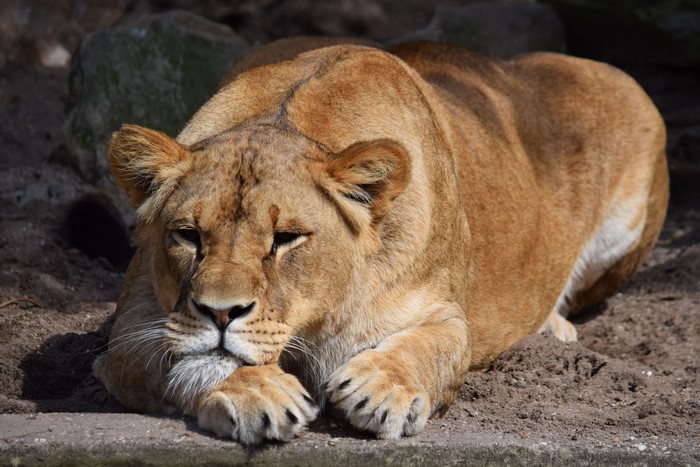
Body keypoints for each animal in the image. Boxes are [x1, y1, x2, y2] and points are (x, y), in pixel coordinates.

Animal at [93, 39, 668, 444]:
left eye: (286, 239)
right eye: (188, 236)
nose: (219, 313)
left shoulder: (446, 314)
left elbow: (428, 347)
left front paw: (383, 388)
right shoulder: (130, 329)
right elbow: (190, 360)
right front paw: (257, 390)